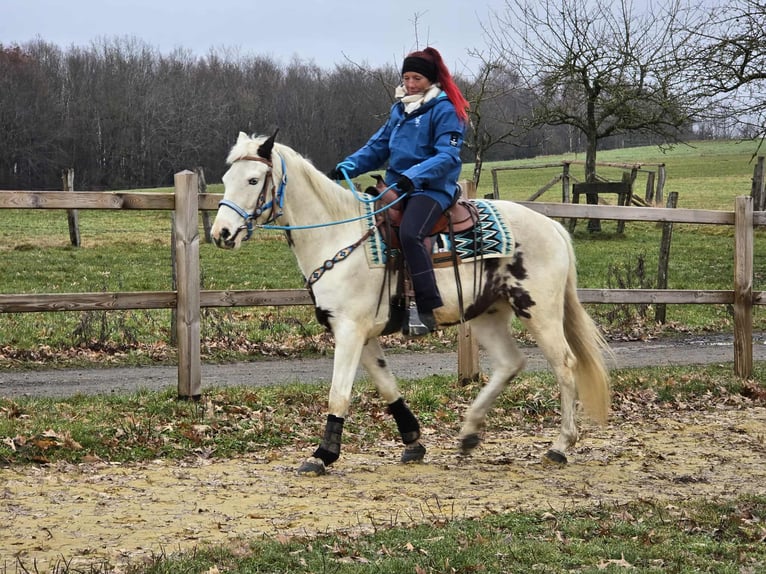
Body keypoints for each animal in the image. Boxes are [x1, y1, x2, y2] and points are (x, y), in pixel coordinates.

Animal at [210, 131, 611, 476]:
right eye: (227, 177)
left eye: (253, 180)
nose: (221, 234)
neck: (339, 235)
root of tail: (552, 226)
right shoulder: (361, 334)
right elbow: (387, 385)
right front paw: (413, 441)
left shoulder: (349, 331)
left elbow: (339, 394)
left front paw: (322, 455)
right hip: (487, 315)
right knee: (511, 363)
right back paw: (469, 434)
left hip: (539, 311)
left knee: (565, 365)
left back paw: (560, 445)